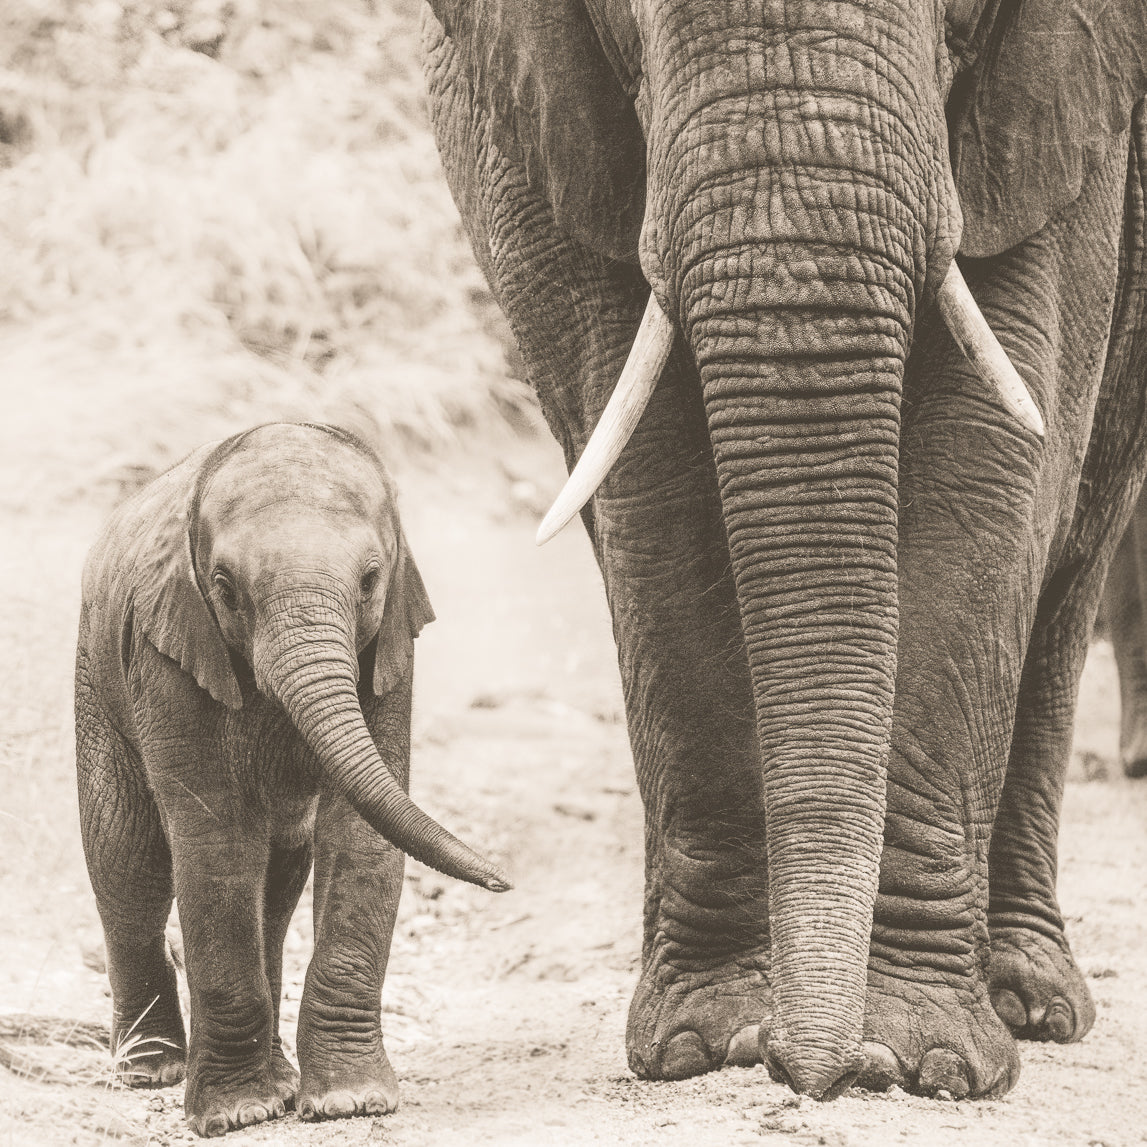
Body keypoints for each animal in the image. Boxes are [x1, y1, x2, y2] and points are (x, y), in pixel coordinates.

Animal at [74, 422, 508, 1137]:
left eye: (371, 579)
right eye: (223, 586)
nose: (504, 881)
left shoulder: (389, 653)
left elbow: (358, 834)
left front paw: (350, 1103)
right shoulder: (168, 659)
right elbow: (215, 841)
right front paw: (237, 1115)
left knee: (277, 875)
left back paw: (273, 1075)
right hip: (96, 674)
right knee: (128, 864)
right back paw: (153, 1069)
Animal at [421, 0, 1147, 1101]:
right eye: (630, 17)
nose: (812, 1071)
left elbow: (987, 460)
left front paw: (920, 1054)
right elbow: (652, 488)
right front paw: (705, 1036)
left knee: (1068, 575)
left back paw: (1032, 1002)